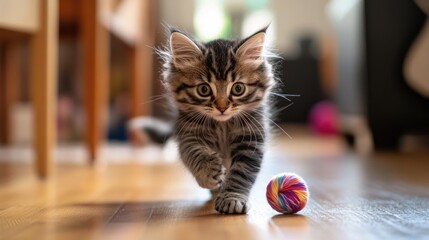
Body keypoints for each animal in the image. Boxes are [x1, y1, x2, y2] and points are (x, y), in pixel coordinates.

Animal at [158, 27, 274, 214]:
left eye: (238, 88)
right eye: (204, 90)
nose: (222, 108)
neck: (222, 124)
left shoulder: (251, 139)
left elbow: (241, 173)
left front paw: (232, 198)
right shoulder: (188, 135)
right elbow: (194, 154)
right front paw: (208, 172)